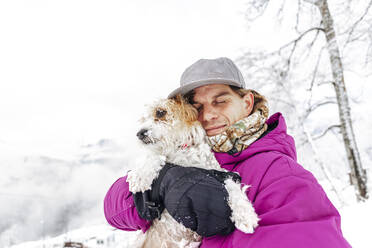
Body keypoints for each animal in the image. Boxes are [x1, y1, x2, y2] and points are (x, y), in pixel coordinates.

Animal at [126, 95, 260, 248]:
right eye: (143, 119)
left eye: (160, 112)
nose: (139, 134)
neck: (182, 151)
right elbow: (155, 155)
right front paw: (140, 175)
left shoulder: (219, 173)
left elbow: (233, 185)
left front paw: (246, 215)